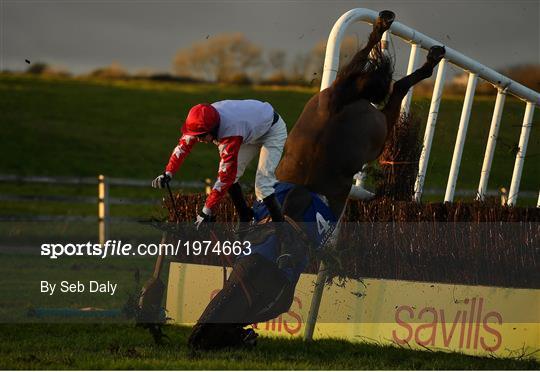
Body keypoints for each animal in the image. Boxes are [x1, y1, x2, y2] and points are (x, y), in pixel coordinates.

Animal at [188, 10, 446, 350]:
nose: (198, 336)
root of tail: (338, 106)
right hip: (364, 119)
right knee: (389, 89)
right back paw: (404, 42)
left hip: (356, 116)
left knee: (385, 88)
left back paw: (401, 40)